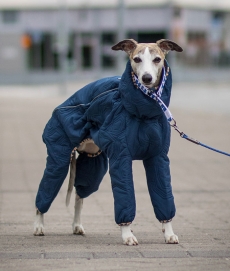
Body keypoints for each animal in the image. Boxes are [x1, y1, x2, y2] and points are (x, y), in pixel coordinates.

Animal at [33, 38, 182, 246]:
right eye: (136, 59)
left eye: (157, 59)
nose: (146, 78)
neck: (145, 112)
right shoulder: (121, 158)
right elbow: (125, 195)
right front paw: (127, 235)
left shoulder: (158, 158)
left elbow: (163, 194)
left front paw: (168, 232)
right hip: (59, 159)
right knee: (46, 190)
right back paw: (39, 225)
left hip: (93, 167)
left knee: (79, 194)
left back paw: (76, 225)